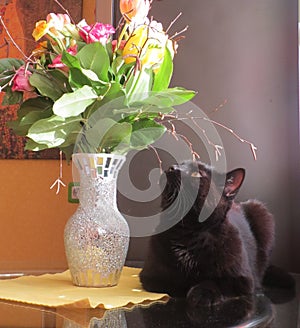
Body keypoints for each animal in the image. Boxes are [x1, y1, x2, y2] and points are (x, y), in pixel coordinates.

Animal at [139, 160, 284, 306]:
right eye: (180, 163)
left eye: (197, 174)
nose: (172, 168)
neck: (187, 232)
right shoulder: (151, 275)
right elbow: (177, 279)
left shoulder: (243, 280)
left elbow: (216, 281)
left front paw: (202, 293)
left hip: (261, 212)